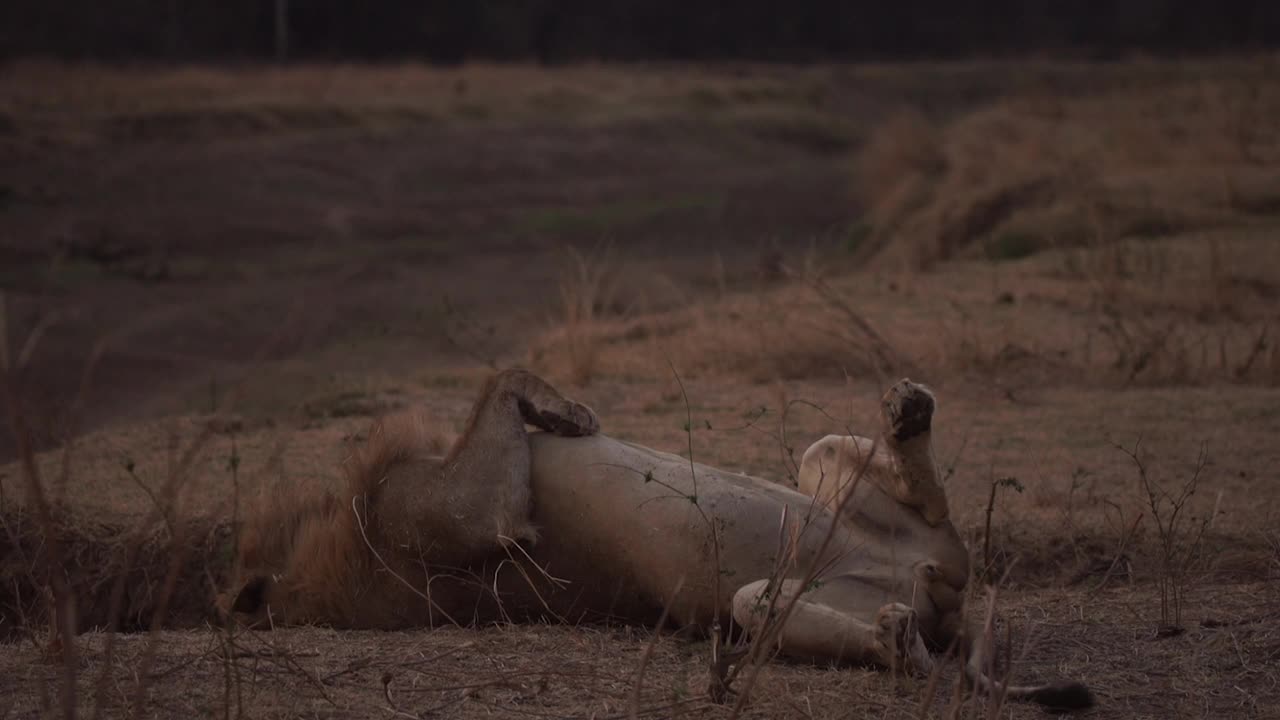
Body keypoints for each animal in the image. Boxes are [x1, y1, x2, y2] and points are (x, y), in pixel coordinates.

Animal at [227, 368, 1090, 707]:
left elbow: (500, 378)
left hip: (828, 477)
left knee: (904, 503)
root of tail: (934, 595)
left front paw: (566, 414)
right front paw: (569, 413)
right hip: (784, 595)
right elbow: (502, 378)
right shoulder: (471, 512)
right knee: (898, 616)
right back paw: (894, 633)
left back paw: (908, 412)